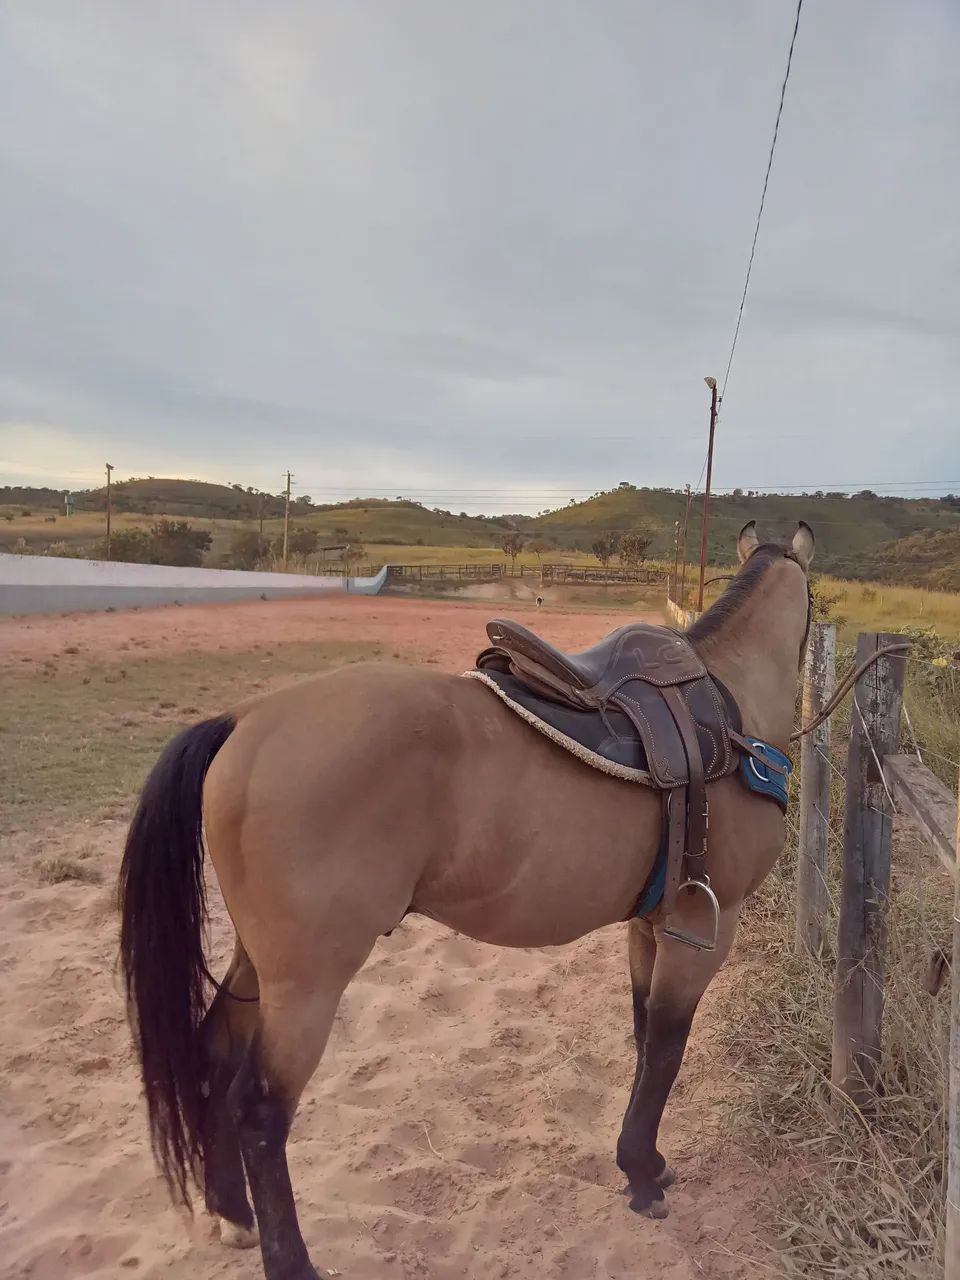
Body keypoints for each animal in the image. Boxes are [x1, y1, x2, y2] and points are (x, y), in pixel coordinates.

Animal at [119, 520, 814, 1280]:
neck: (730, 707)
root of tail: (245, 722)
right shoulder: (706, 928)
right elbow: (665, 1045)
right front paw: (641, 1174)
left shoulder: (651, 926)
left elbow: (642, 1039)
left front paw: (644, 1162)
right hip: (307, 985)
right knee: (261, 1110)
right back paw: (290, 1259)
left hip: (260, 968)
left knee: (214, 1055)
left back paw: (233, 1213)